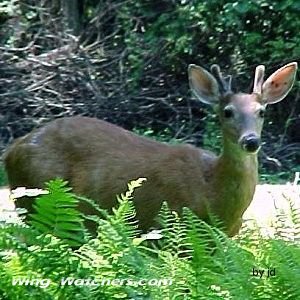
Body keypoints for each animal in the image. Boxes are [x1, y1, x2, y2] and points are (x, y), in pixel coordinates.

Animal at [2, 62, 298, 236]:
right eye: (227, 112)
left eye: (261, 111)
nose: (251, 141)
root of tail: (11, 150)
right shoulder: (166, 228)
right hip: (36, 197)